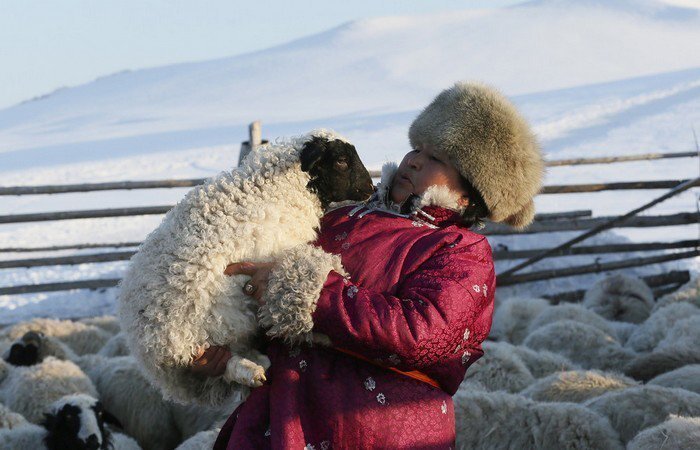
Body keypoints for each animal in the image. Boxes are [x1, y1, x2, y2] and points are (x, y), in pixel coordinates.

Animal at [117, 129, 374, 404]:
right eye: (341, 161)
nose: (370, 188)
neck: (284, 189)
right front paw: (318, 331)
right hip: (188, 341)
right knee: (223, 364)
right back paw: (252, 370)